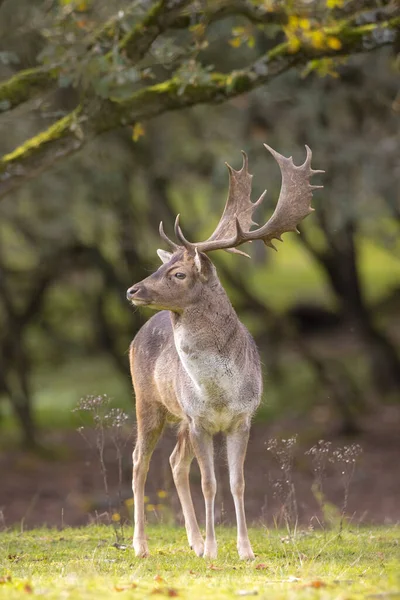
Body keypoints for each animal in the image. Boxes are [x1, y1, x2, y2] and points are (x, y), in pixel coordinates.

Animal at [126, 143, 324, 560]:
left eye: (178, 273)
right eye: (163, 265)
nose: (132, 290)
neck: (219, 393)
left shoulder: (242, 419)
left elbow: (237, 483)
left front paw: (244, 550)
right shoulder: (200, 420)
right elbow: (210, 484)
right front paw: (215, 551)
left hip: (179, 418)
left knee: (174, 462)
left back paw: (194, 540)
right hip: (147, 401)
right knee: (139, 462)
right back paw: (142, 545)